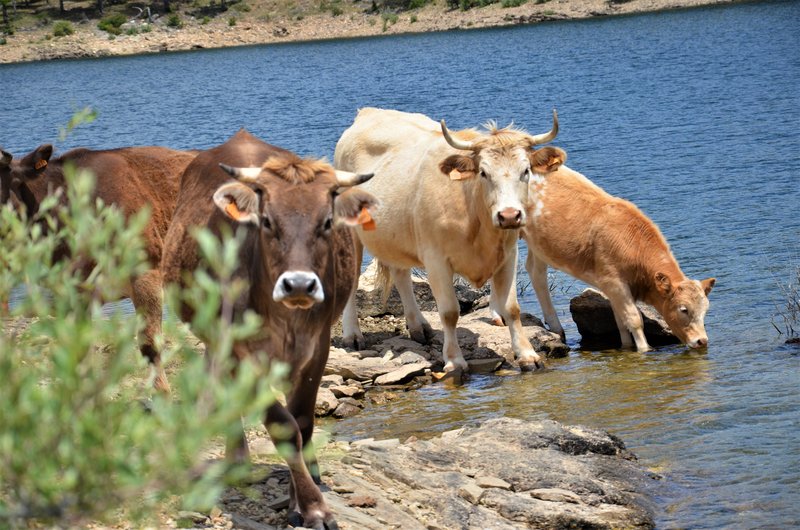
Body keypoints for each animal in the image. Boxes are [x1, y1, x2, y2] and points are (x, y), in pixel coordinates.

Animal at [162, 129, 378, 528]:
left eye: (327, 222)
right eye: (266, 222)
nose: (298, 284)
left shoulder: (318, 347)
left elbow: (303, 421)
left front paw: (299, 498)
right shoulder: (240, 353)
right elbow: (283, 425)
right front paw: (313, 507)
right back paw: (237, 461)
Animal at [490, 159, 716, 352]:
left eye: (705, 309)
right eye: (683, 309)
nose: (702, 341)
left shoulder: (613, 288)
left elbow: (621, 321)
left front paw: (627, 347)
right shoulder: (614, 282)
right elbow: (634, 319)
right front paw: (645, 350)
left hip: (539, 245)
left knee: (536, 273)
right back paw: (496, 316)